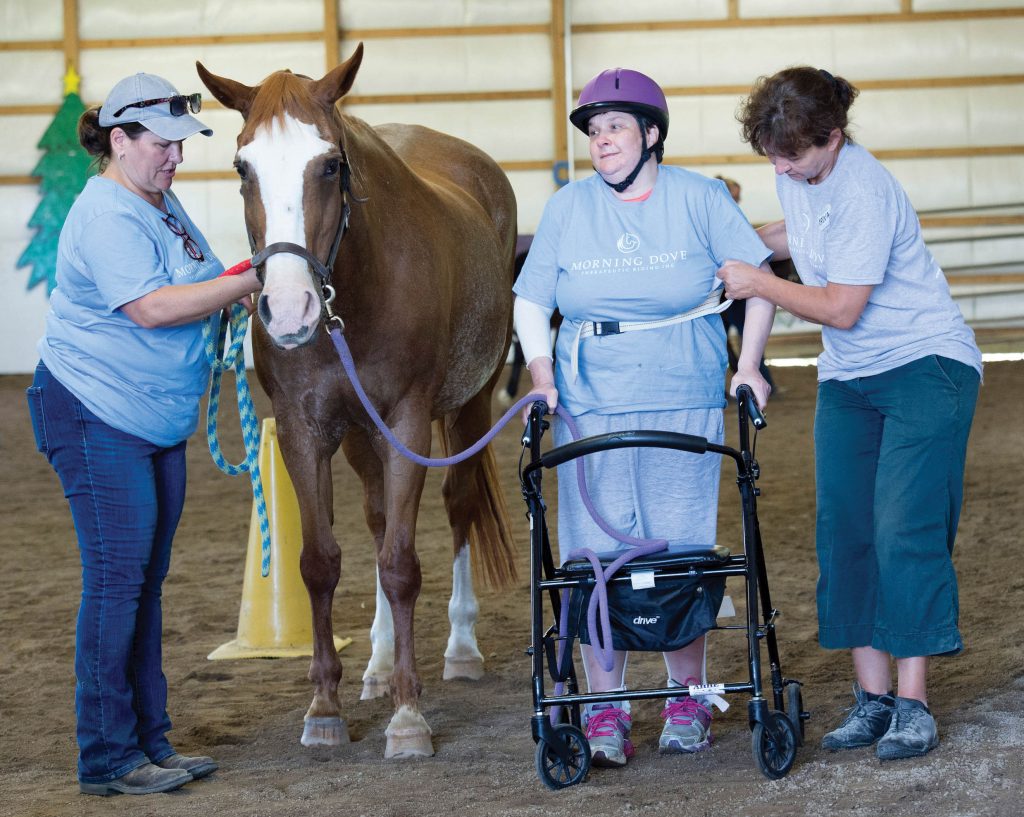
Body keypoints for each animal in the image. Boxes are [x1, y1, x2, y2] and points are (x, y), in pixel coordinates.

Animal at [197, 43, 520, 761]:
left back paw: (461, 647)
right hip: (360, 436)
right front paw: (325, 706)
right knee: (376, 520)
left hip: (470, 405)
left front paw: (408, 716)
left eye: (331, 164)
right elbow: (321, 563)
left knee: (458, 504)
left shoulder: (408, 421)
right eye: (242, 166)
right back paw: (375, 664)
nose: (289, 308)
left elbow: (401, 563)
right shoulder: (305, 429)